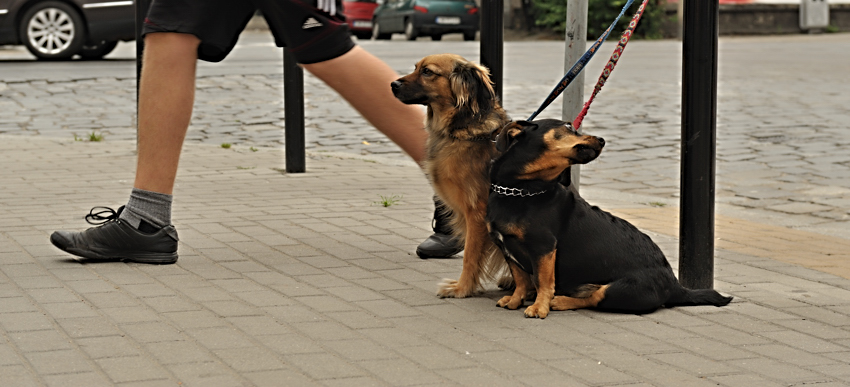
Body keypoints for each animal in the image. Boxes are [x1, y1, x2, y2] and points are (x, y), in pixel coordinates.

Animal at [390, 53, 506, 298]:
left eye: (427, 72)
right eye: (416, 67)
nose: (392, 84)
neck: (460, 131)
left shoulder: (477, 212)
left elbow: (470, 255)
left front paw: (462, 289)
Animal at [484, 120, 728, 318]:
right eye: (568, 126)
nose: (602, 140)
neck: (521, 189)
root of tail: (675, 286)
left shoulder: (543, 247)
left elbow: (543, 281)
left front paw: (539, 307)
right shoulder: (506, 246)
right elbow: (521, 279)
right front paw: (515, 300)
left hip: (623, 289)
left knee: (594, 299)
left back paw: (560, 301)